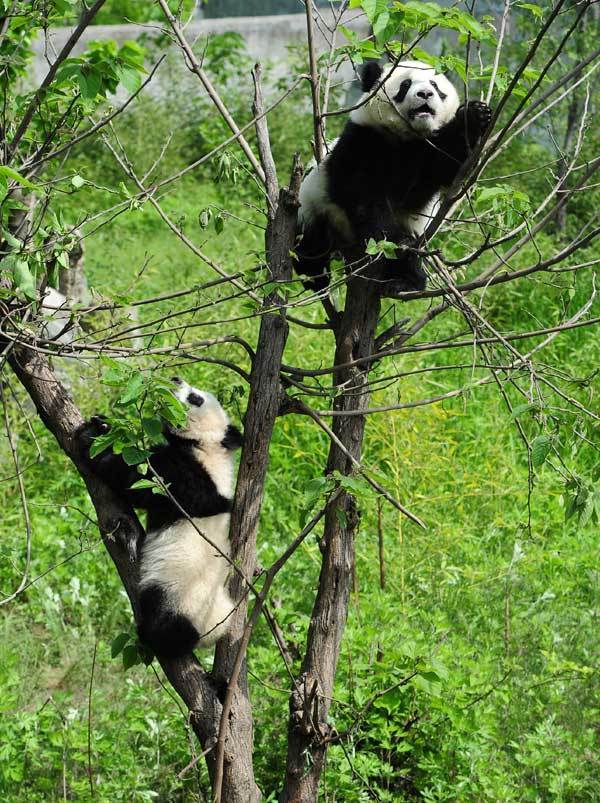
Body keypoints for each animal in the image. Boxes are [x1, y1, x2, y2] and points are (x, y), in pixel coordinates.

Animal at [78, 376, 243, 660]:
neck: (206, 447)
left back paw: (149, 636)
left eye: (196, 398)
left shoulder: (191, 484)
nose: (176, 379)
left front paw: (90, 439)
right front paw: (103, 423)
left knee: (166, 628)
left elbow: (138, 478)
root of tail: (212, 634)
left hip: (178, 595)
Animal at [296, 59, 492, 296]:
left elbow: (447, 167)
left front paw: (475, 115)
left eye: (435, 85)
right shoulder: (362, 142)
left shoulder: (428, 151)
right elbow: (365, 199)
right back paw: (314, 276)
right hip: (314, 207)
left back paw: (405, 280)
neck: (406, 137)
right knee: (311, 243)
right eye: (405, 85)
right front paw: (394, 241)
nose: (425, 93)